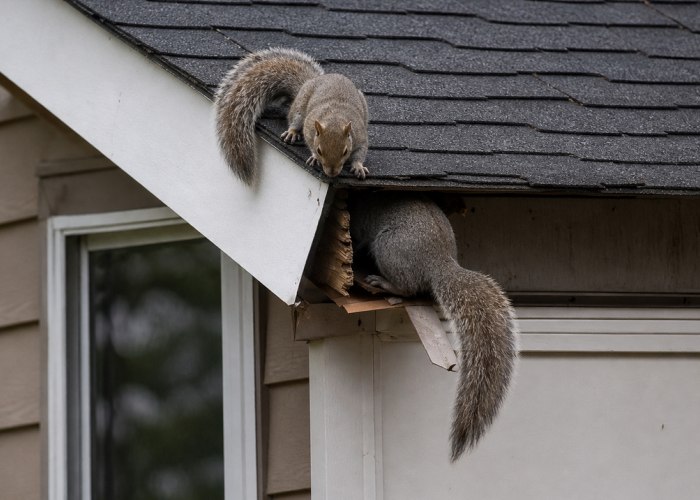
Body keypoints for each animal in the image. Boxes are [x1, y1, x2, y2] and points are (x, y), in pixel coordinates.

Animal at [215, 48, 369, 185]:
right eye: (319, 150)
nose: (332, 173)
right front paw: (314, 157)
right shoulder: (310, 128)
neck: (335, 119)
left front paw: (358, 166)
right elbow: (309, 140)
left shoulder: (359, 134)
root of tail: (309, 81)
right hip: (300, 108)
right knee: (295, 118)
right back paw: (292, 132)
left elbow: (361, 151)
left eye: (345, 151)